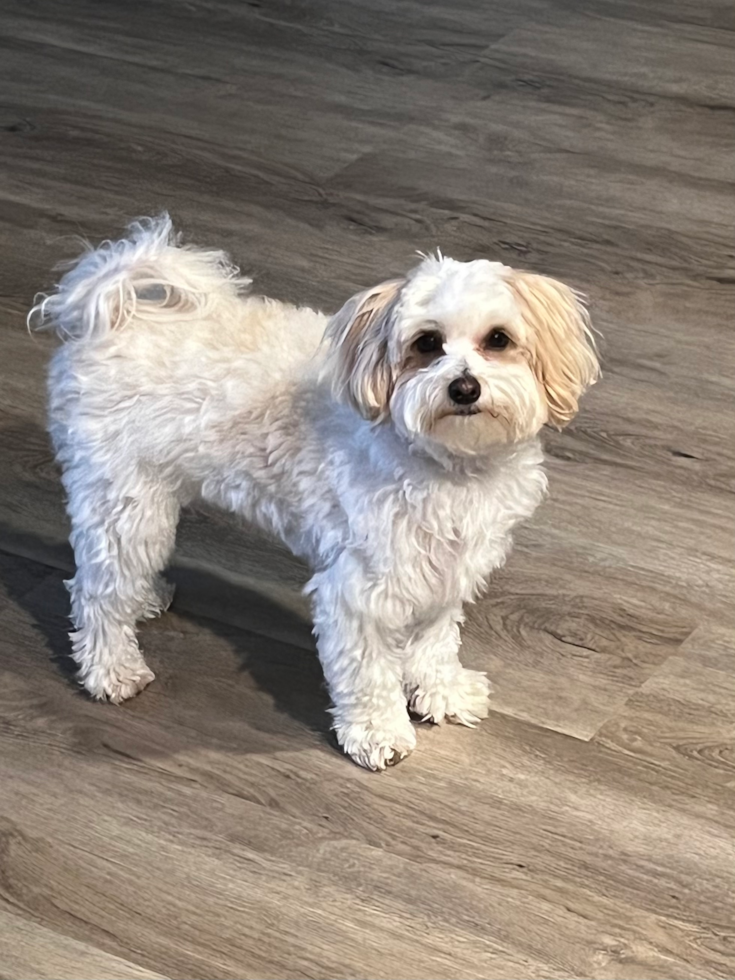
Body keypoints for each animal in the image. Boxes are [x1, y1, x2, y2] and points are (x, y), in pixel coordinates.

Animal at [31, 216, 600, 772]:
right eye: (426, 344)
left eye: (498, 339)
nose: (464, 388)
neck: (451, 463)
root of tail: (111, 314)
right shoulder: (360, 588)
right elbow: (369, 671)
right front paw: (378, 732)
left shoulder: (446, 567)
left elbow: (435, 641)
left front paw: (443, 692)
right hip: (124, 499)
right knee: (96, 592)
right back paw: (112, 670)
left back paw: (144, 598)